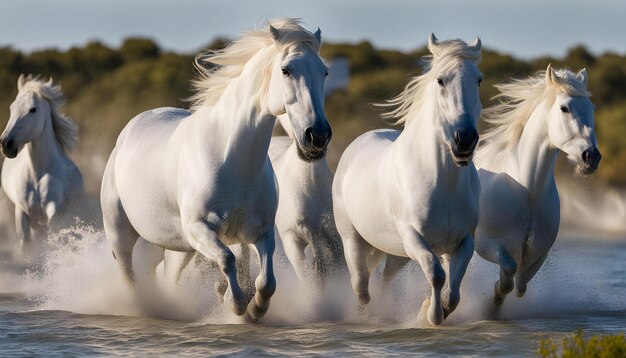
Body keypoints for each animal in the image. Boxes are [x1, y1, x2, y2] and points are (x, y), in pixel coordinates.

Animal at [0, 75, 82, 255]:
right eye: (12, 107)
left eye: (33, 109)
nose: (6, 144)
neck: (37, 173)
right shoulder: (22, 211)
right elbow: (28, 245)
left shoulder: (54, 208)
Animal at [101, 18, 332, 320]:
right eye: (286, 70)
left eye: (324, 71)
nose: (317, 136)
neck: (230, 158)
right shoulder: (200, 228)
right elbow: (227, 259)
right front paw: (234, 302)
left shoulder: (260, 231)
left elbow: (267, 280)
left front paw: (255, 309)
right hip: (121, 234)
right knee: (129, 276)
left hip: (178, 246)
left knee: (168, 277)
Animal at [332, 35, 482, 326]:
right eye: (440, 80)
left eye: (478, 80)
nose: (465, 140)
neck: (443, 182)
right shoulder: (414, 237)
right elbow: (436, 273)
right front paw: (431, 315)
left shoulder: (463, 240)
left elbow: (453, 291)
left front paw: (436, 309)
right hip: (354, 241)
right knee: (362, 286)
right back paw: (368, 316)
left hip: (396, 252)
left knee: (383, 281)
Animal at [472, 65, 600, 306]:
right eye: (564, 108)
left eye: (592, 108)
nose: (591, 157)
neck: (527, 189)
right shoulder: (485, 244)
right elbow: (508, 275)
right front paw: (493, 300)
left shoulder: (539, 253)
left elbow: (520, 284)